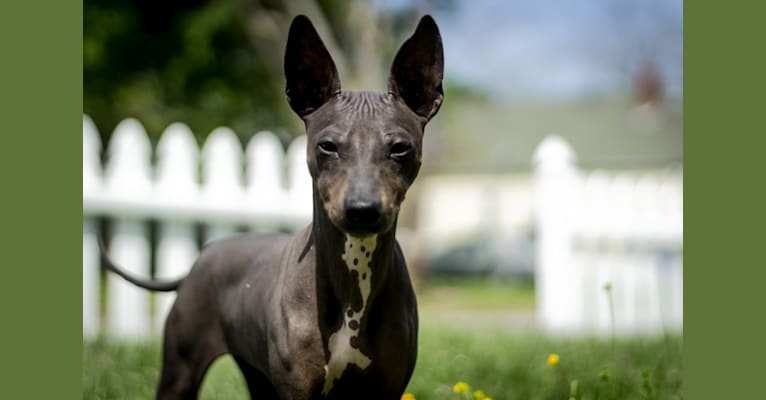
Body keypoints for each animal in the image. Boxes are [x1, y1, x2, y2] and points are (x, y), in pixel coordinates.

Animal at [105, 14, 448, 398]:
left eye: (400, 148)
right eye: (328, 146)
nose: (362, 209)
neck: (354, 290)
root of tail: (201, 258)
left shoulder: (388, 387)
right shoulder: (296, 389)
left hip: (257, 377)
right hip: (180, 372)